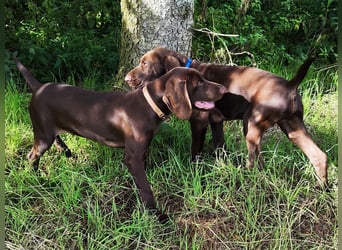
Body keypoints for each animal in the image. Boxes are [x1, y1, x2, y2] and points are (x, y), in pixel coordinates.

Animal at [14, 57, 227, 222]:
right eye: (199, 83)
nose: (224, 89)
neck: (149, 105)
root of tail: (39, 87)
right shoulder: (132, 157)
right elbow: (146, 188)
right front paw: (157, 215)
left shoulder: (142, 149)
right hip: (42, 134)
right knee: (32, 156)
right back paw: (37, 179)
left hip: (48, 130)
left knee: (56, 140)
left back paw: (68, 154)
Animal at [124, 47, 328, 187]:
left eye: (145, 63)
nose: (126, 79)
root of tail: (290, 85)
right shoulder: (216, 121)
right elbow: (219, 146)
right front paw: (220, 167)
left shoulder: (199, 121)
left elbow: (196, 150)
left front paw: (194, 171)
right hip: (293, 128)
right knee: (319, 156)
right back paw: (322, 188)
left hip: (251, 125)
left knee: (255, 161)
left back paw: (247, 177)